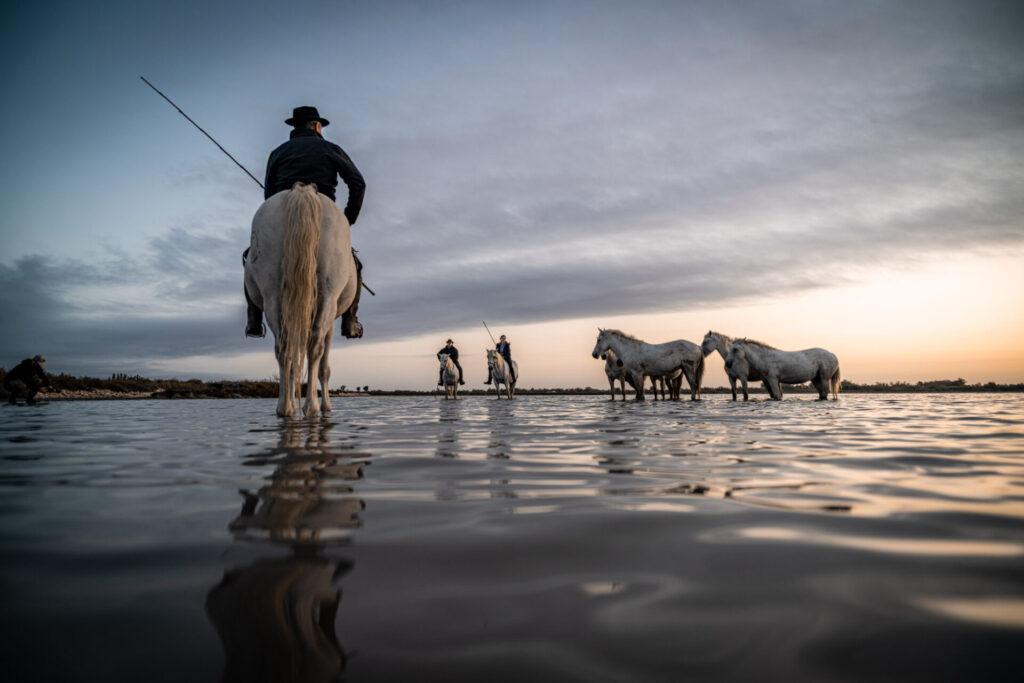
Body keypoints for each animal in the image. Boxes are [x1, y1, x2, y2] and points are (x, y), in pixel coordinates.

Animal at [244, 183, 359, 418]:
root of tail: (303, 191)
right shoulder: (330, 321)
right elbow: (324, 367)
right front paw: (326, 405)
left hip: (273, 296)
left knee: (284, 348)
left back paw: (285, 407)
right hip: (327, 296)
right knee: (314, 347)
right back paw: (312, 407)